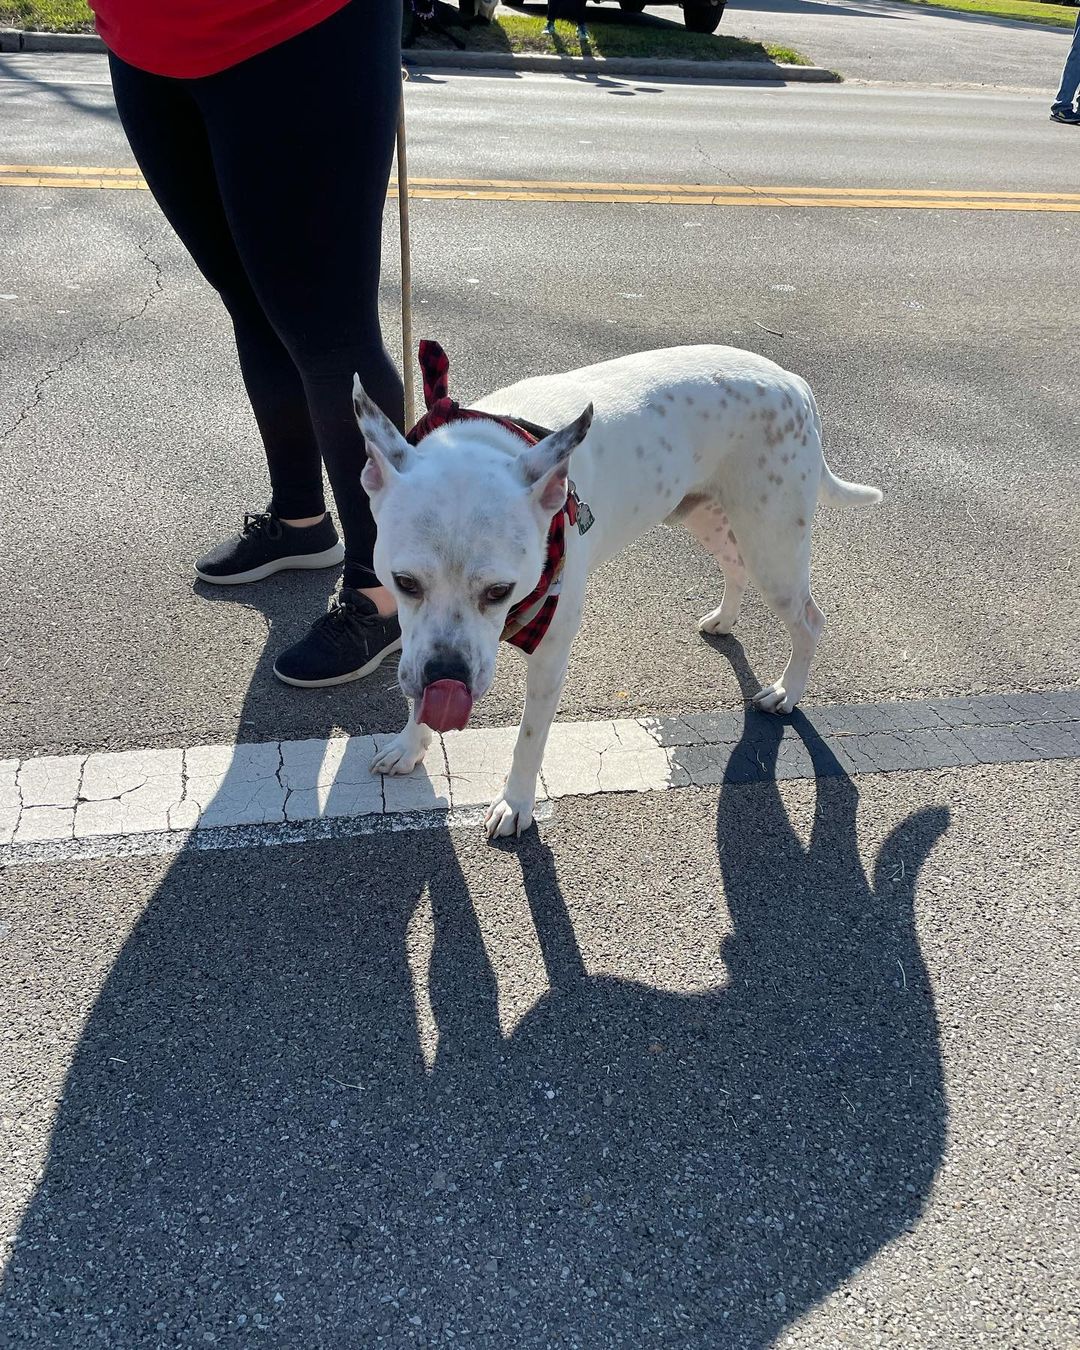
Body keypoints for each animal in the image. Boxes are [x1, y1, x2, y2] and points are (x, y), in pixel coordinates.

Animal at [351, 342, 880, 837]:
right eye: (404, 583)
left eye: (500, 591)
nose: (448, 676)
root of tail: (792, 381)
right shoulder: (421, 646)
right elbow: (417, 688)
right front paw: (409, 744)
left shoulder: (549, 656)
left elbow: (529, 739)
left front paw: (516, 803)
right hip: (709, 517)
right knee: (734, 565)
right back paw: (724, 618)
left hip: (774, 549)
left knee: (809, 620)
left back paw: (787, 691)